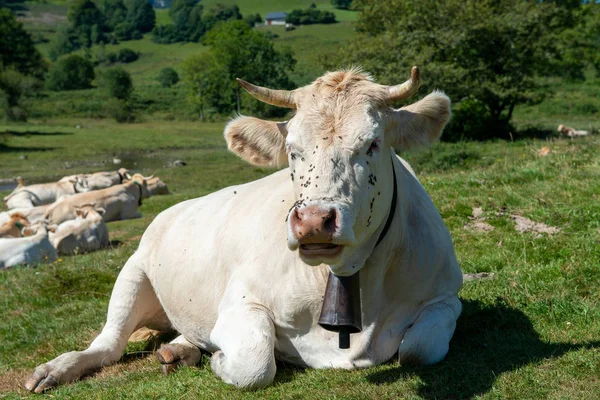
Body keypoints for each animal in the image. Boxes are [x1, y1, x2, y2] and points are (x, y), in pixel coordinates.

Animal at [24, 66, 464, 394]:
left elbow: (418, 349)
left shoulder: (446, 296)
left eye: (372, 144)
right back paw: (56, 369)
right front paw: (221, 359)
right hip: (133, 272)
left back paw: (179, 350)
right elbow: (255, 363)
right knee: (108, 344)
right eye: (292, 150)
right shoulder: (241, 302)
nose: (313, 221)